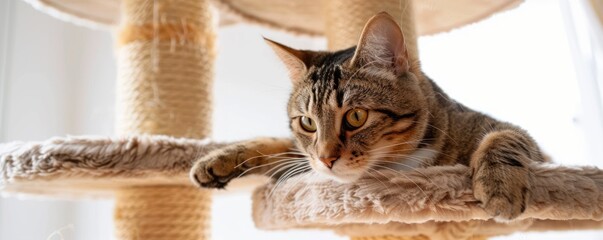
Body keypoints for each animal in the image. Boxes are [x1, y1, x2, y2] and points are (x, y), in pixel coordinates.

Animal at [191, 12, 548, 220]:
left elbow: (504, 137)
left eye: (356, 117)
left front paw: (499, 187)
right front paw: (218, 160)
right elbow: (282, 146)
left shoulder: (526, 144)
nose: (326, 159)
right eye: (307, 122)